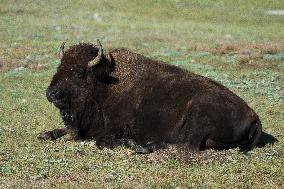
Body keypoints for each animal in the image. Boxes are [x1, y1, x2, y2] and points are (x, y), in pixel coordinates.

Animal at [38, 39, 262, 154]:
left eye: (79, 72)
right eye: (59, 67)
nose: (51, 93)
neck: (105, 84)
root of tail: (254, 116)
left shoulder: (116, 127)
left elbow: (101, 141)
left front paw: (128, 142)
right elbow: (65, 130)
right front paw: (45, 134)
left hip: (199, 114)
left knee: (186, 146)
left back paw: (143, 146)